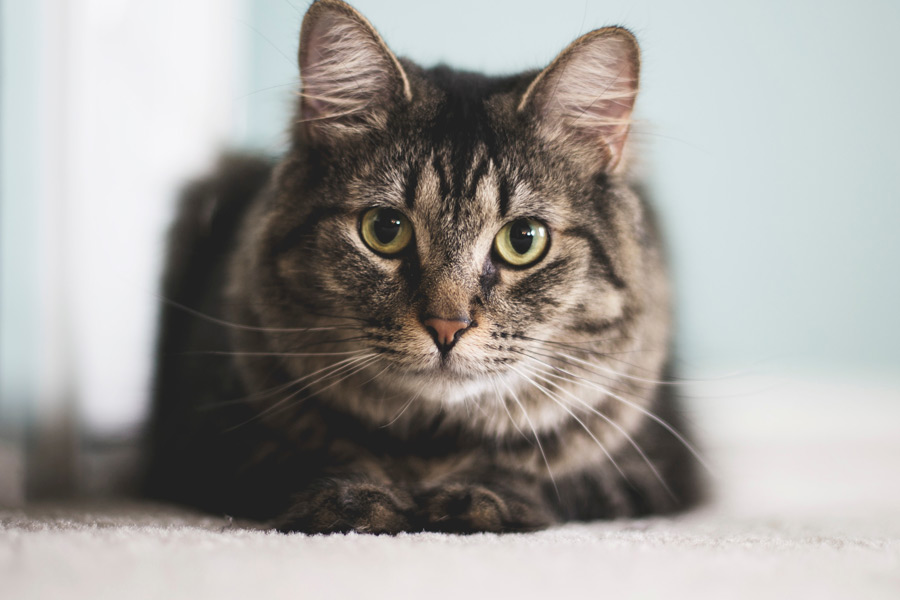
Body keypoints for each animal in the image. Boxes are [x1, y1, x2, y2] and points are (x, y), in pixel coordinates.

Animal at [142, 0, 704, 536]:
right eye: (385, 228)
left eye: (523, 239)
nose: (446, 326)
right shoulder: (203, 439)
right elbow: (310, 457)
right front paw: (356, 501)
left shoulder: (651, 465)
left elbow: (536, 476)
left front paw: (472, 499)